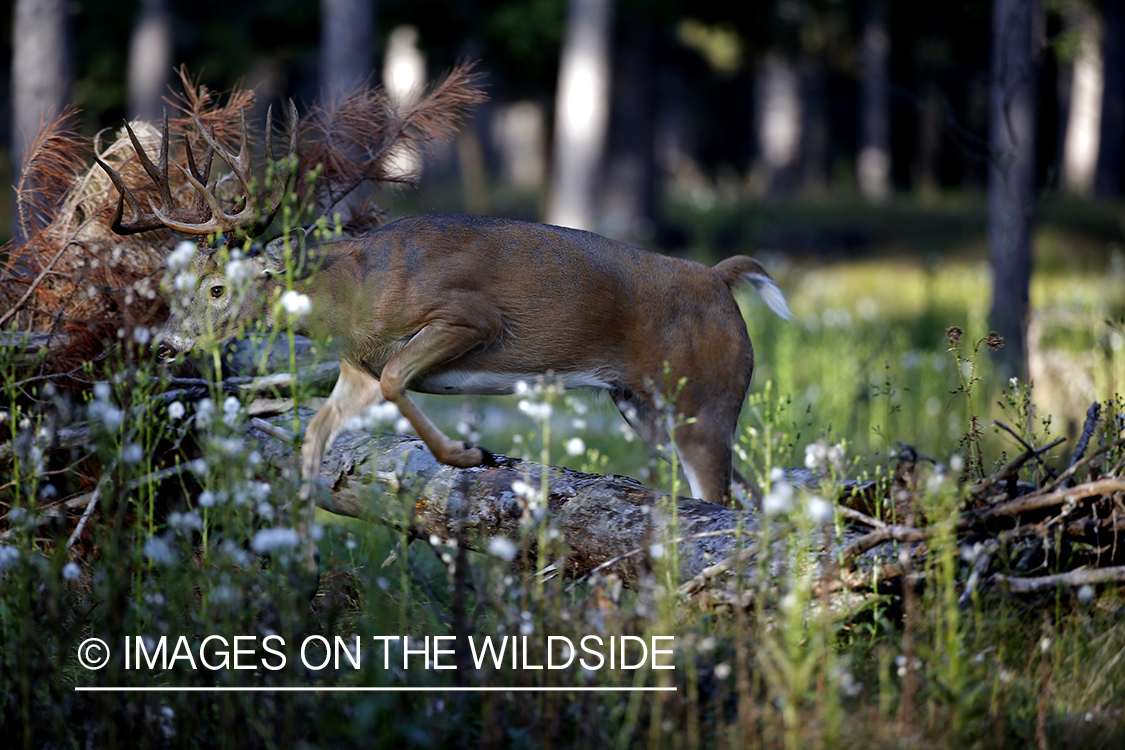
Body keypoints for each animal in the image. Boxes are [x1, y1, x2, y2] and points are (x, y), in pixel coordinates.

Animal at [96, 101, 796, 521]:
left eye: (218, 289)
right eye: (182, 282)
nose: (168, 343)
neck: (346, 293)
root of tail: (720, 278)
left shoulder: (468, 316)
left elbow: (397, 380)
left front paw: (470, 455)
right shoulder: (352, 367)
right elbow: (317, 435)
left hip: (705, 398)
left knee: (726, 498)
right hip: (645, 407)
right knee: (748, 494)